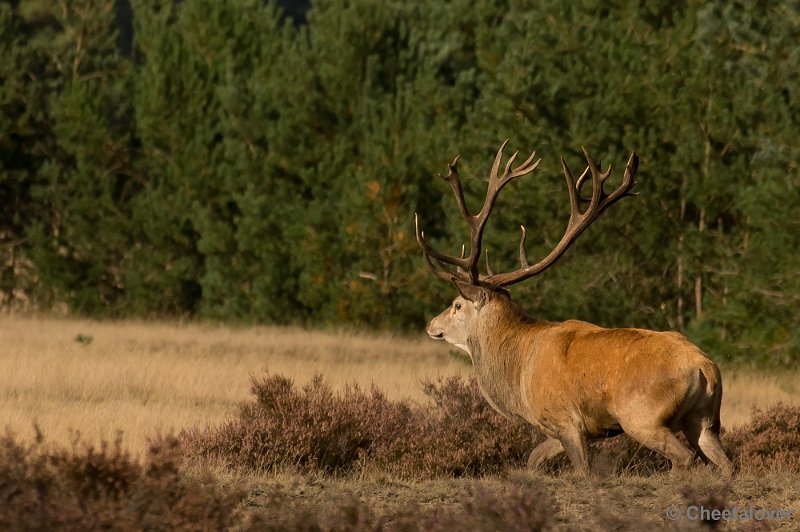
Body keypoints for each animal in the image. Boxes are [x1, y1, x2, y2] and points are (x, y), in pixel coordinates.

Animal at [416, 140, 736, 474]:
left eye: (456, 305)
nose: (430, 325)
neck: (518, 375)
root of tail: (705, 368)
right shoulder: (556, 429)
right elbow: (532, 459)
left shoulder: (567, 421)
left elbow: (583, 470)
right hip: (705, 420)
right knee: (725, 462)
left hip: (642, 417)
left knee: (684, 456)